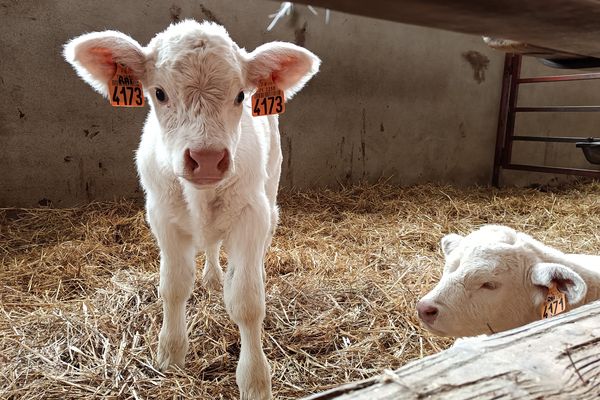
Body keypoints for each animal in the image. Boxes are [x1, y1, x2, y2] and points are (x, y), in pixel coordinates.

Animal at [63, 20, 322, 398]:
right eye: (159, 93)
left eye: (240, 95)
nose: (208, 158)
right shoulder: (162, 218)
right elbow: (173, 287)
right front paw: (170, 354)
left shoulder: (251, 216)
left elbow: (247, 302)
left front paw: (255, 380)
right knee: (211, 247)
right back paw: (213, 279)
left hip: (270, 191)